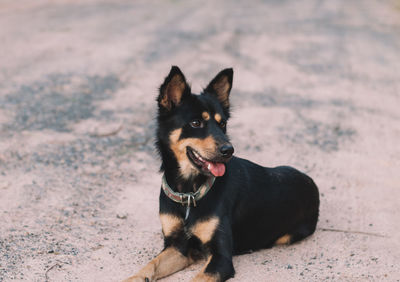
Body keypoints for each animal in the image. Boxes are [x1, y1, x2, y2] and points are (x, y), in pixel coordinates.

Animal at [123, 67, 320, 280]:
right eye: (195, 123)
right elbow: (150, 265)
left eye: (223, 123)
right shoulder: (178, 247)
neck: (189, 192)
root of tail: (311, 182)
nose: (229, 150)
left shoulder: (221, 258)